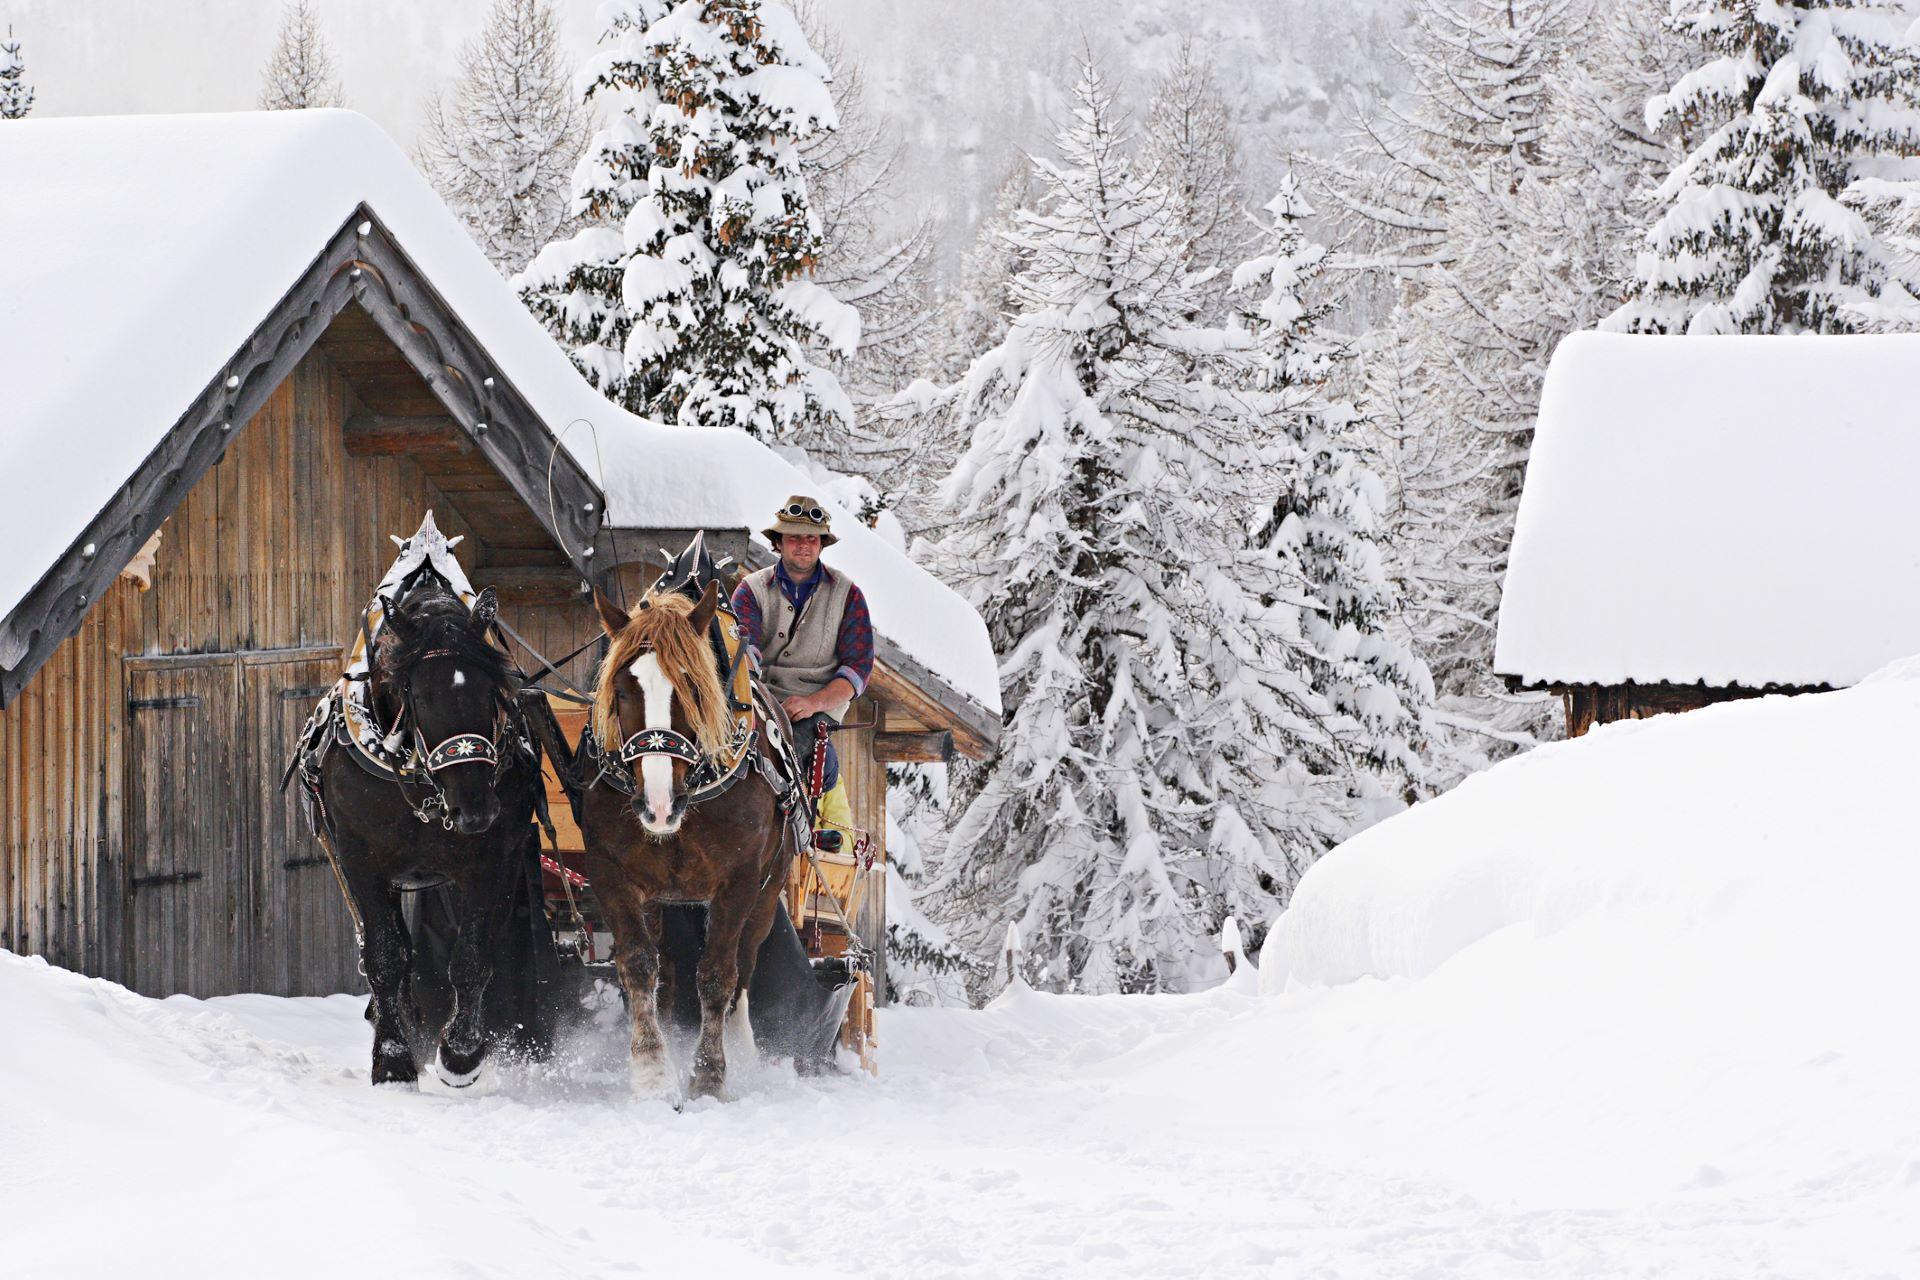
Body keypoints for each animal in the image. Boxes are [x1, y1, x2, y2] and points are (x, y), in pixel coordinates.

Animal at [299, 579, 545, 1090]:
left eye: (492, 691)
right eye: (422, 696)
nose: (476, 809)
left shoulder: (490, 860)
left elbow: (471, 956)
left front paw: (461, 1053)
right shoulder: (362, 864)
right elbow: (386, 957)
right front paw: (393, 1059)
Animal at [583, 583, 794, 1105]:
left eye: (694, 687)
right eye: (622, 690)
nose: (659, 805)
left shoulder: (739, 881)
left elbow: (718, 976)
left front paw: (709, 1075)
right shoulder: (609, 870)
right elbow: (639, 965)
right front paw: (653, 1072)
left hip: (768, 891)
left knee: (744, 966)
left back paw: (742, 1050)